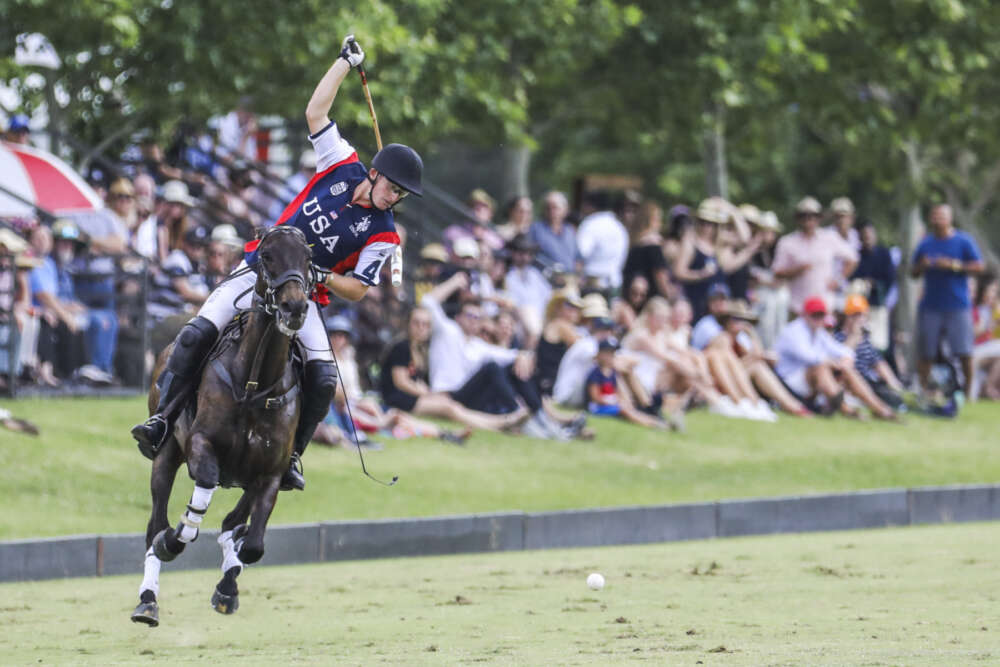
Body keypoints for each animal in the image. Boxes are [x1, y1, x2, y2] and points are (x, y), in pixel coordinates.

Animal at [132, 227, 312, 628]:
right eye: (266, 256)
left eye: (308, 260)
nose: (294, 307)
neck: (254, 384)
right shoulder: (201, 444)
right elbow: (200, 493)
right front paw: (175, 540)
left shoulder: (270, 472)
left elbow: (253, 544)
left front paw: (229, 581)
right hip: (166, 454)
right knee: (155, 523)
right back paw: (147, 601)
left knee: (233, 522)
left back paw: (227, 581)